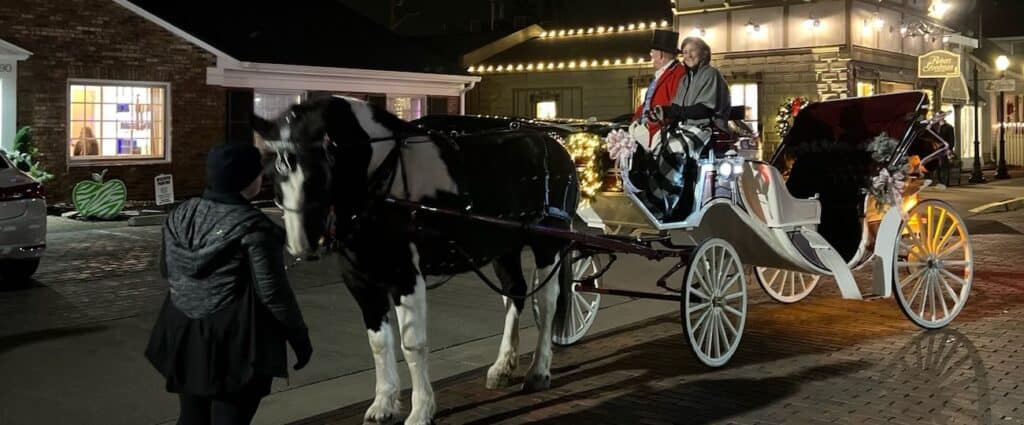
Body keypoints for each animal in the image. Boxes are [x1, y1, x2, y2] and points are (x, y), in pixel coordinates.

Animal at [252, 96, 581, 425]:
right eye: (273, 174)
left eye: (320, 172)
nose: (302, 246)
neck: (383, 181)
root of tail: (556, 146)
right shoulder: (360, 280)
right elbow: (378, 342)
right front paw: (383, 404)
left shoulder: (405, 276)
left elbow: (412, 344)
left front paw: (421, 410)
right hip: (504, 248)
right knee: (515, 295)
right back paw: (502, 367)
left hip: (548, 243)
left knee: (547, 303)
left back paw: (539, 371)